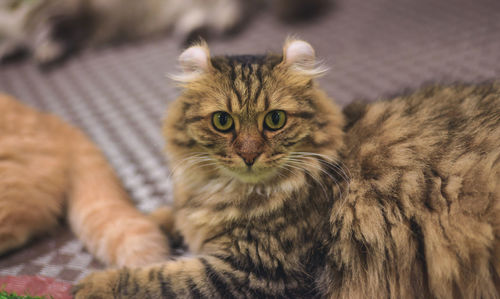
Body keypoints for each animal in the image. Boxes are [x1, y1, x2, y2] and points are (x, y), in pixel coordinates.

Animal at [71, 38, 500, 298]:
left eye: (274, 120)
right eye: (223, 122)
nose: (248, 154)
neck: (229, 191)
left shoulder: (259, 271)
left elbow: (163, 278)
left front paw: (89, 283)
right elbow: (165, 217)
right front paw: (146, 225)